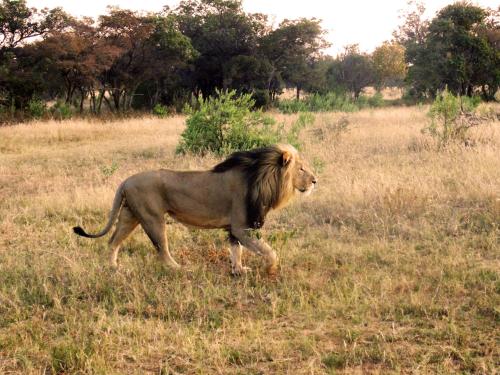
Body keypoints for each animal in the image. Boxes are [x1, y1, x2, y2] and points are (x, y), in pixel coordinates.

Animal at [73, 144, 316, 276]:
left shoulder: (233, 228)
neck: (261, 176)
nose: (315, 181)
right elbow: (267, 250)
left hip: (129, 216)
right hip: (153, 218)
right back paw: (180, 269)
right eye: (302, 168)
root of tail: (126, 180)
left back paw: (114, 268)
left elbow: (236, 251)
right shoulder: (241, 226)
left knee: (112, 242)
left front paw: (238, 271)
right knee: (162, 252)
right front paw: (271, 269)